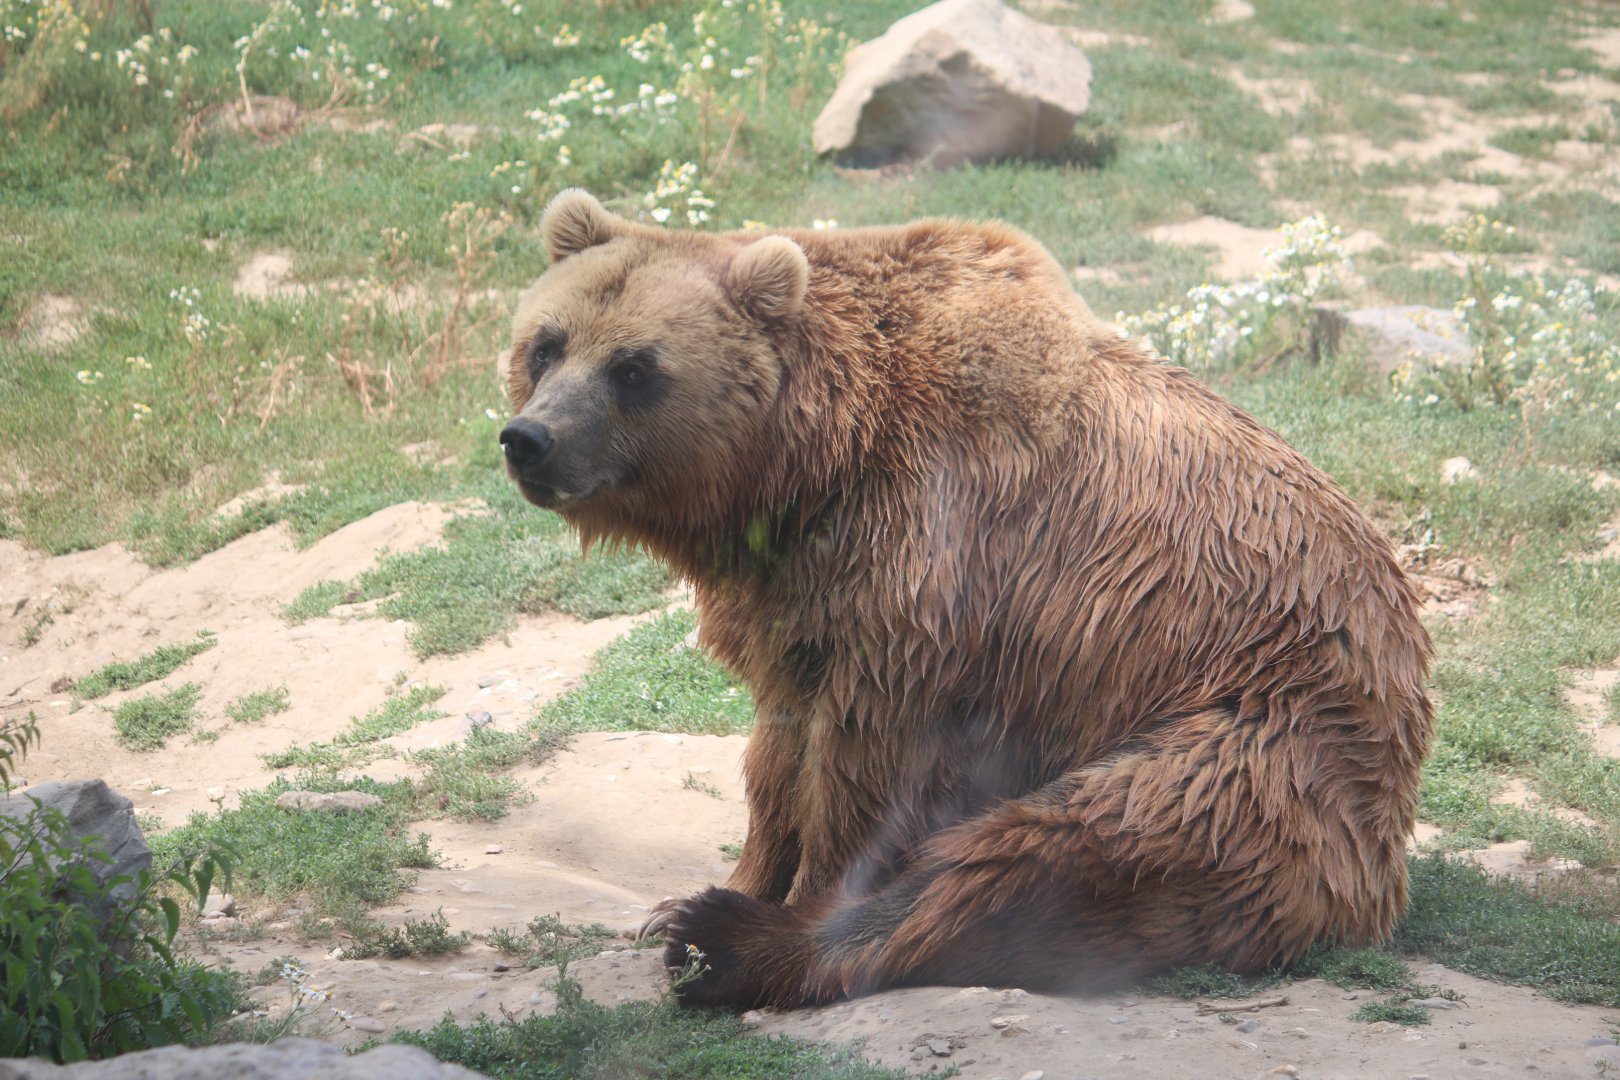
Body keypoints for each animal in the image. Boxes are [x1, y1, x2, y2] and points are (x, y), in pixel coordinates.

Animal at [500, 189, 1433, 1010]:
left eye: (634, 367)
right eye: (547, 344)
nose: (529, 439)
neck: (810, 464)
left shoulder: (930, 566)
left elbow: (860, 766)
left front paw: (770, 900)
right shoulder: (793, 595)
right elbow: (777, 749)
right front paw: (718, 882)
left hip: (1247, 743)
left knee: (1041, 855)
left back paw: (733, 948)